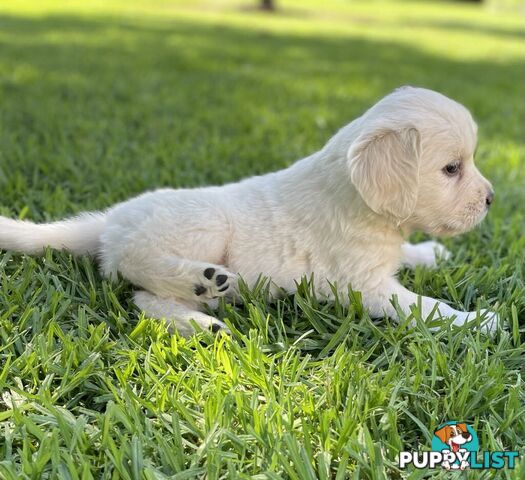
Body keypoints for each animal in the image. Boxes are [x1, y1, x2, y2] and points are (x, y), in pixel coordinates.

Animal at [0, 86, 496, 336]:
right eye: (452, 168)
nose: (491, 199)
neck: (364, 207)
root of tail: (110, 221)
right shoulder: (362, 285)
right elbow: (422, 305)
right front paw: (476, 320)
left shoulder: (379, 258)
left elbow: (408, 255)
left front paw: (432, 253)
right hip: (203, 226)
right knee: (135, 271)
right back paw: (201, 284)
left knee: (144, 298)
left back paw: (202, 320)